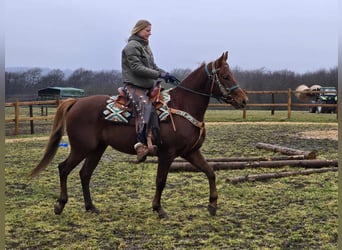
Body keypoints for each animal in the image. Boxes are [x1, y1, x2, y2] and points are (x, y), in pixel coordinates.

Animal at [29, 51, 248, 218]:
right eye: (225, 76)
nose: (243, 100)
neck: (182, 105)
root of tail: (76, 102)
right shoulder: (167, 154)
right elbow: (161, 181)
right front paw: (158, 209)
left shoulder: (190, 152)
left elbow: (210, 172)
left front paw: (212, 205)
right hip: (81, 148)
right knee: (64, 168)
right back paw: (60, 205)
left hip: (97, 149)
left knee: (85, 174)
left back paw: (91, 207)